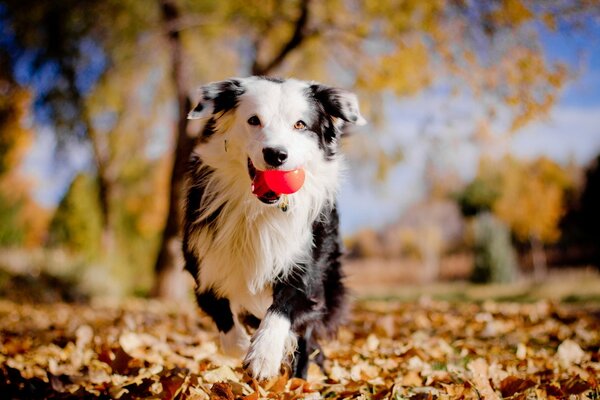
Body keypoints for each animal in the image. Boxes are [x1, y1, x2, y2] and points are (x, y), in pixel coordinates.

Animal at [180, 76, 364, 380]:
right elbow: (221, 315)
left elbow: (282, 309)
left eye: (300, 124)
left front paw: (263, 356)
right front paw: (242, 344)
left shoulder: (305, 268)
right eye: (254, 120)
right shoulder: (203, 265)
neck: (260, 210)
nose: (276, 154)